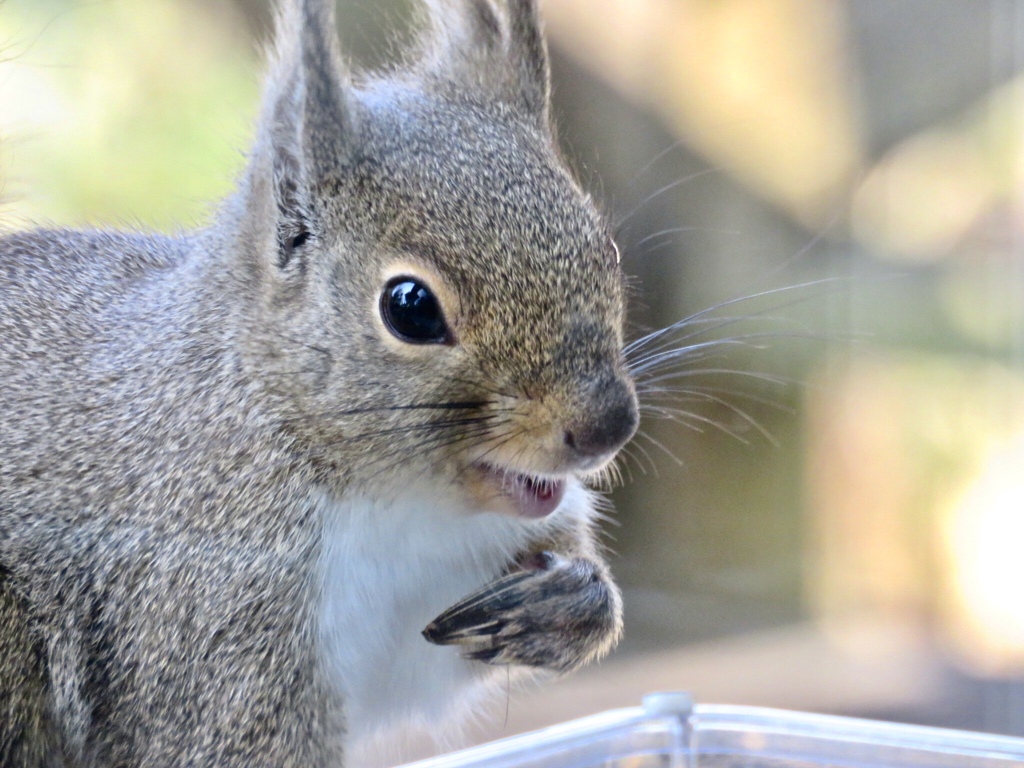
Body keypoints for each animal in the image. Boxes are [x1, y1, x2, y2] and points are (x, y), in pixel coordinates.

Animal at [0, 0, 638, 765]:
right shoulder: (208, 610)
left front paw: (573, 602)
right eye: (410, 307)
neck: (400, 501)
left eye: (605, 246)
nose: (608, 426)